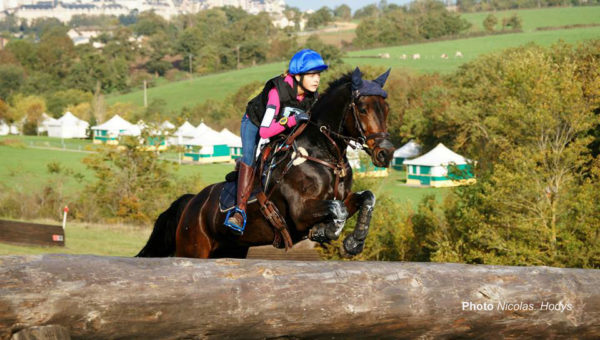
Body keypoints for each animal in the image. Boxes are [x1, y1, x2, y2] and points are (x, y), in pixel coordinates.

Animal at [138, 68, 396, 260]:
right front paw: (326, 231)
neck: (323, 154)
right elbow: (337, 209)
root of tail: (192, 202)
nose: (386, 153)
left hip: (231, 250)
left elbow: (366, 197)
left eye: (386, 109)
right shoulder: (300, 212)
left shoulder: (343, 197)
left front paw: (354, 242)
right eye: (362, 108)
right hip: (193, 249)